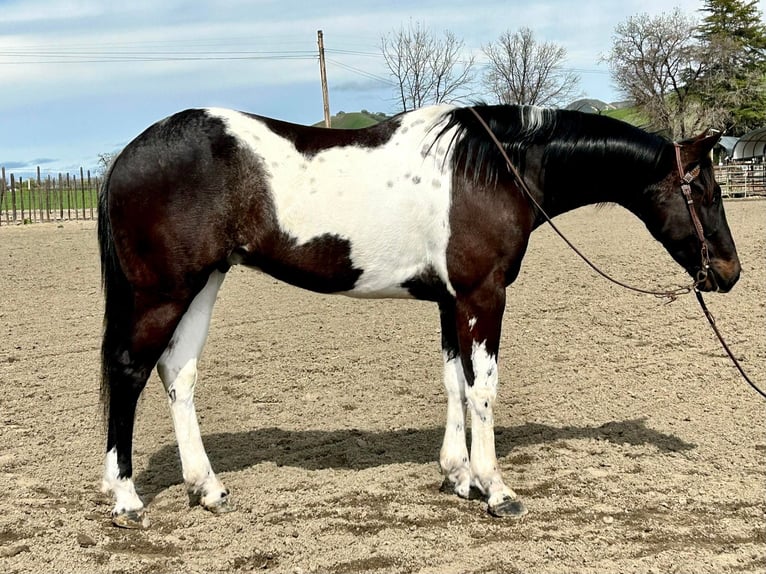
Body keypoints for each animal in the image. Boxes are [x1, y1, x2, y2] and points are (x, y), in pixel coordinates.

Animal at [100, 104, 744, 532]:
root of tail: (128, 155)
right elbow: (483, 389)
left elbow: (454, 384)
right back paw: (126, 499)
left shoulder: (449, 301)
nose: (730, 271)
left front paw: (459, 477)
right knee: (129, 372)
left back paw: (207, 488)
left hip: (204, 284)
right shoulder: (484, 297)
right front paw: (496, 489)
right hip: (163, 293)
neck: (492, 169)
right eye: (705, 191)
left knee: (178, 376)